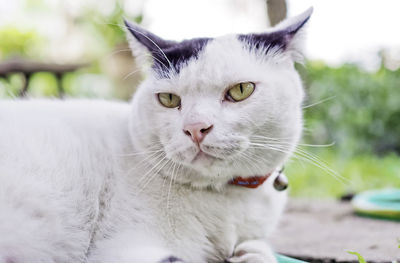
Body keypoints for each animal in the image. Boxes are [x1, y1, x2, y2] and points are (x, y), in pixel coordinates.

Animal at [0, 7, 312, 263]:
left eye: (240, 90)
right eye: (169, 99)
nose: (196, 127)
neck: (227, 200)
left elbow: (259, 250)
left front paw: (252, 253)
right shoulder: (121, 247)